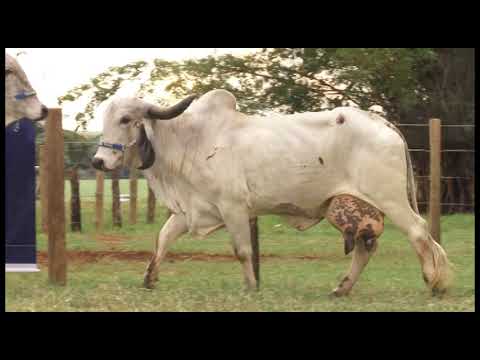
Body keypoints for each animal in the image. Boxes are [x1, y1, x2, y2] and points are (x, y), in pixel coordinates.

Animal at [92, 89, 452, 296]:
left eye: (125, 119)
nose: (98, 160)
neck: (189, 139)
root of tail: (383, 123)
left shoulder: (234, 208)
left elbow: (242, 251)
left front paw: (251, 286)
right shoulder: (192, 210)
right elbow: (163, 239)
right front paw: (149, 278)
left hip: (391, 199)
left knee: (420, 232)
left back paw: (434, 281)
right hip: (358, 207)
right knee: (367, 247)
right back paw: (342, 288)